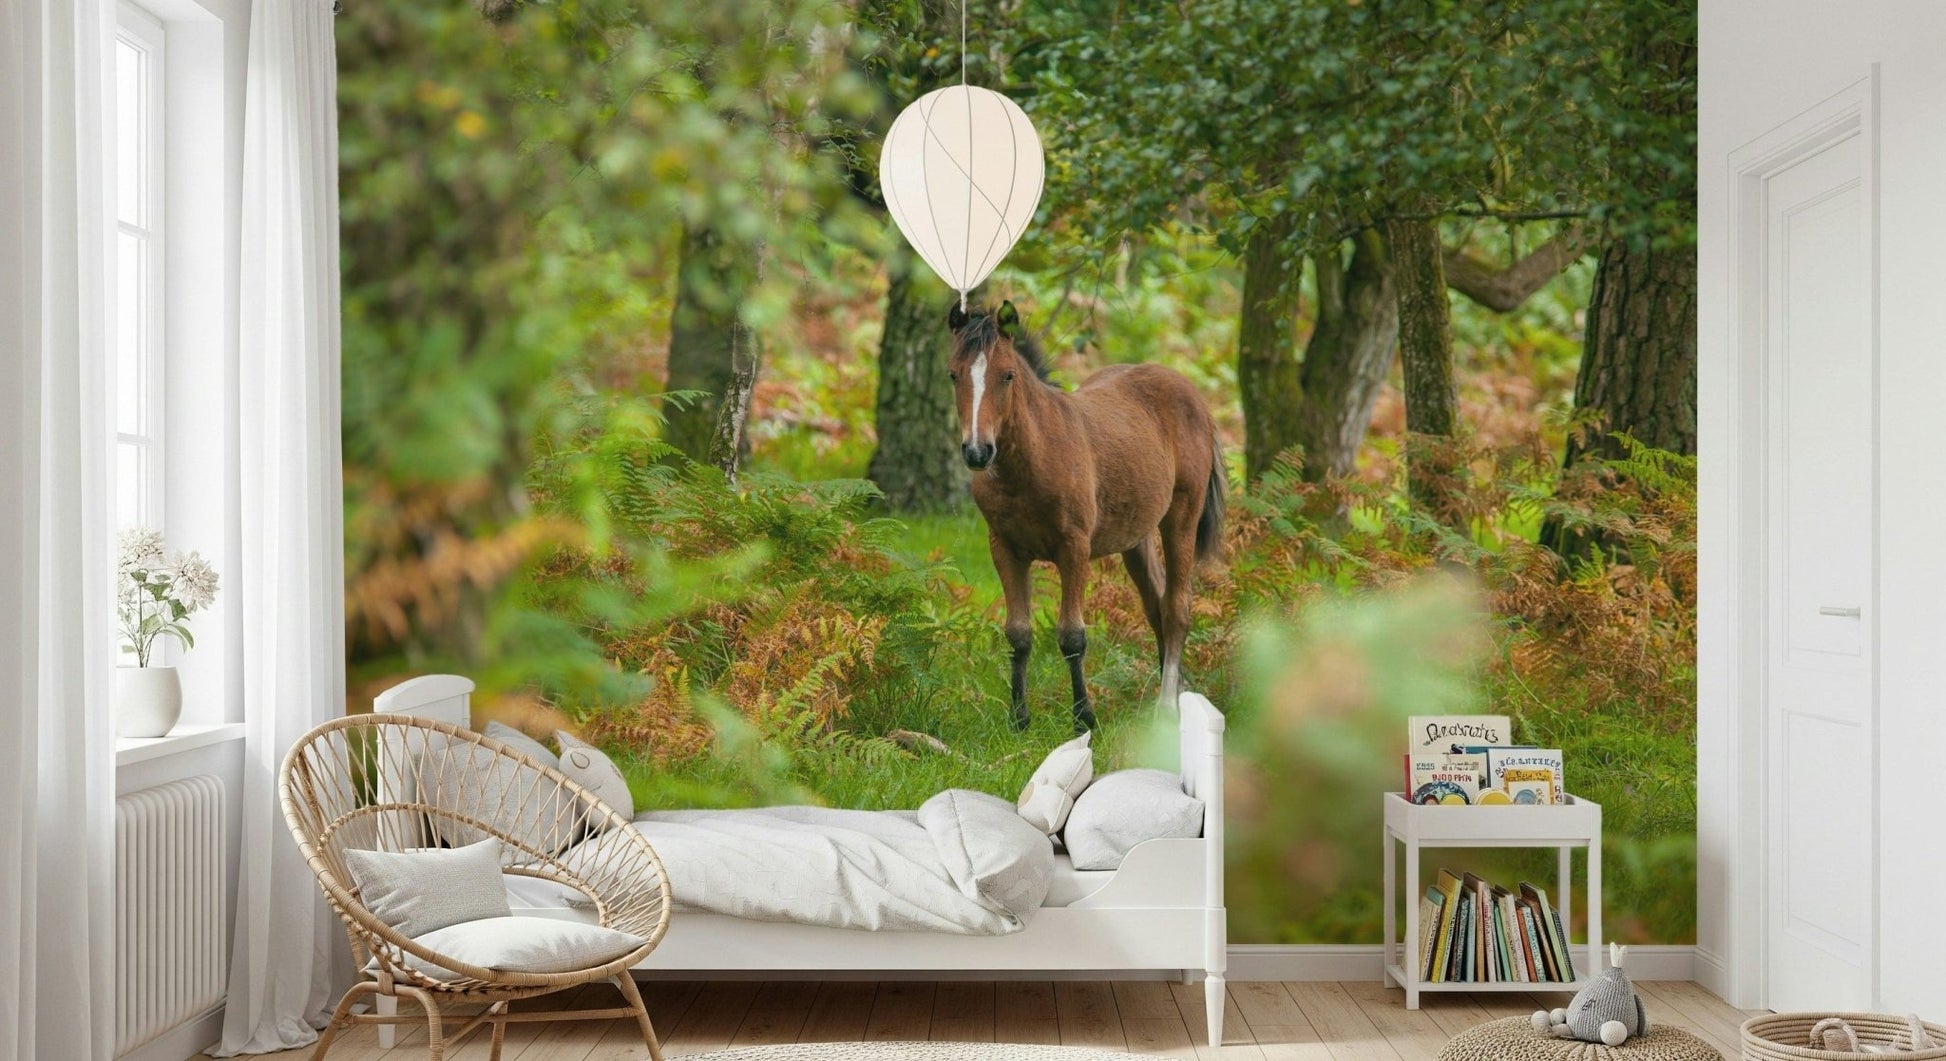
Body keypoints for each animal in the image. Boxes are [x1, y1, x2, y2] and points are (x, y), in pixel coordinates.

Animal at [947, 300, 1225, 732]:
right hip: (1135, 537)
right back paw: (1176, 693)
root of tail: (1191, 393)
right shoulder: (1004, 549)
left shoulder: (1073, 548)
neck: (1030, 462)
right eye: (954, 375)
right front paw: (1019, 719)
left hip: (1182, 515)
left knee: (1177, 607)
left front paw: (1084, 718)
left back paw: (1167, 707)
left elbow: (1072, 636)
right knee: (1156, 604)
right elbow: (1018, 633)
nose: (978, 452)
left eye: (1007, 375)